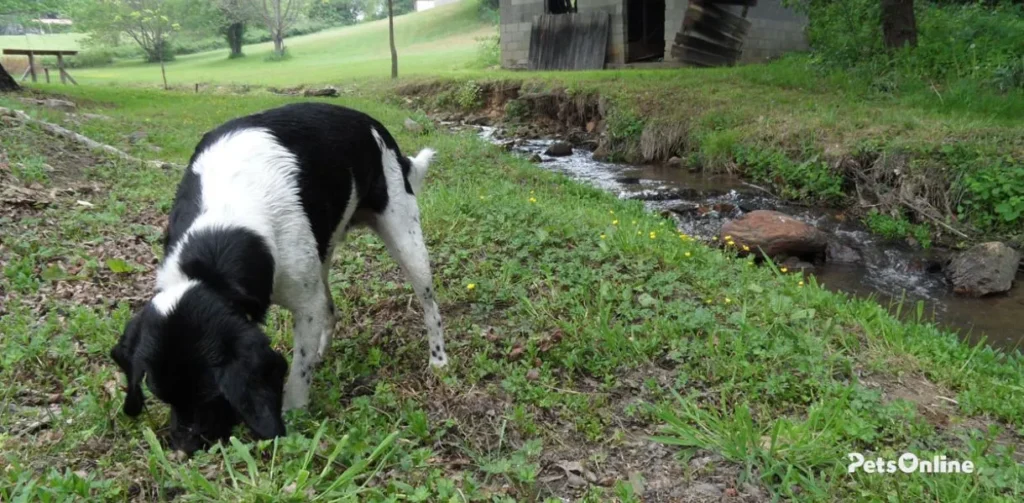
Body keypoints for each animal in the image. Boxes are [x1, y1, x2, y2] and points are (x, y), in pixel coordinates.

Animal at [111, 101, 448, 452]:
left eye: (212, 394)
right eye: (160, 396)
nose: (181, 447)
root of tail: (370, 122)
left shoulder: (305, 304)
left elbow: (298, 372)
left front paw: (292, 413)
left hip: (406, 242)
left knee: (430, 308)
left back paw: (438, 360)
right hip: (324, 253)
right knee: (330, 309)